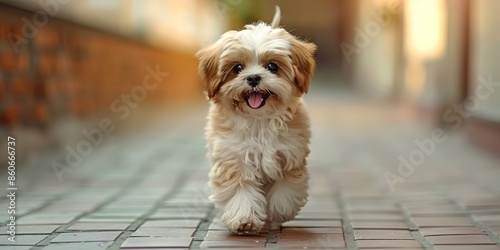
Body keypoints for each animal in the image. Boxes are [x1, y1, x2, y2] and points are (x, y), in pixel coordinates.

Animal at [196, 5, 316, 233]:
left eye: (272, 66)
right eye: (237, 68)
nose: (253, 78)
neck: (258, 120)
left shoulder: (289, 154)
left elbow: (285, 191)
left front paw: (276, 213)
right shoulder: (233, 156)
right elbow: (240, 189)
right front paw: (244, 219)